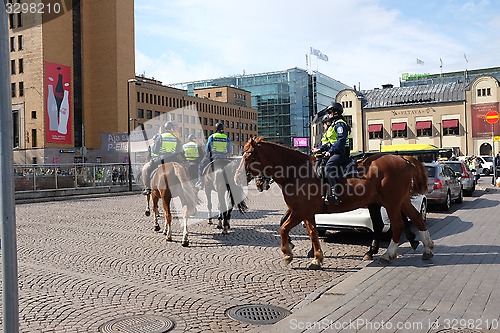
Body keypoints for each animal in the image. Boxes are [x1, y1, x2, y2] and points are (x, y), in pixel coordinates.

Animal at [234, 136, 434, 268]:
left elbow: (284, 228)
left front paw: (287, 253)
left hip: (391, 202)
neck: (297, 172)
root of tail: (402, 158)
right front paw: (316, 257)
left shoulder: (300, 211)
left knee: (398, 225)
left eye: (249, 155)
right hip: (399, 201)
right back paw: (426, 248)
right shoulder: (306, 212)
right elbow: (312, 233)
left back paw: (389, 253)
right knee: (417, 218)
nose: (237, 178)